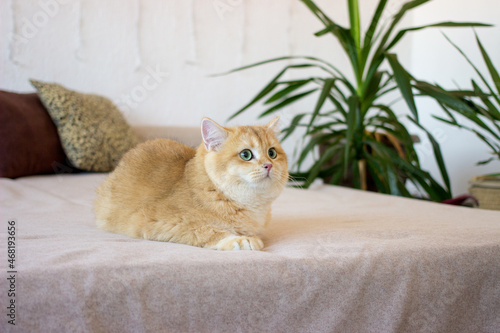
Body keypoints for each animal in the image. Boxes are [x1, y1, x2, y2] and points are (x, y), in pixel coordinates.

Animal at [94, 116, 290, 249]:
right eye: (246, 154)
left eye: (272, 153)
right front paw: (239, 239)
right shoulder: (155, 221)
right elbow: (206, 230)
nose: (269, 165)